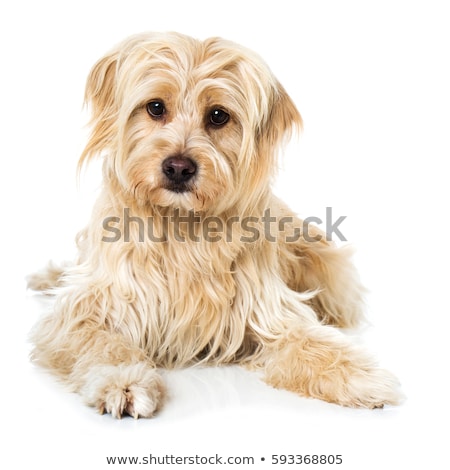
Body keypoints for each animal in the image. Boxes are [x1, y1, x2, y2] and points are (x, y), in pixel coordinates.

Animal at [27, 32, 400, 418]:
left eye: (218, 115)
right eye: (155, 107)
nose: (178, 167)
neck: (181, 226)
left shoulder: (270, 314)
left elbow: (309, 341)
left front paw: (357, 376)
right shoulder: (86, 310)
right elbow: (102, 344)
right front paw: (123, 380)